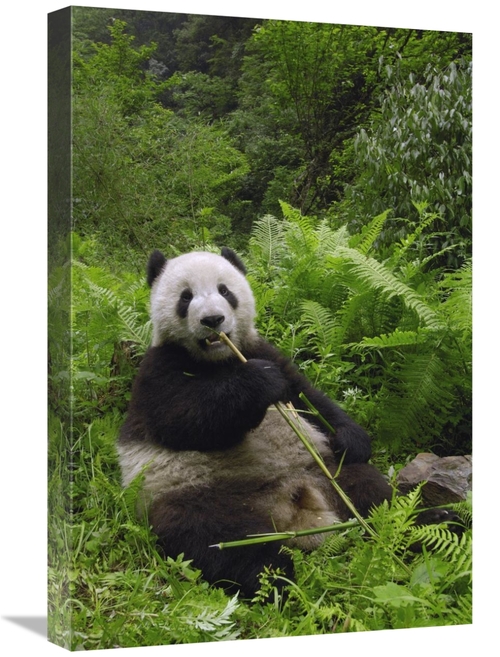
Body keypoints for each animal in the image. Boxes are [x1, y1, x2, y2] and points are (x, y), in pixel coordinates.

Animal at [118, 246, 394, 596]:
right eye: (185, 297)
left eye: (225, 291)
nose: (213, 320)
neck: (219, 359)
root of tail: (294, 507)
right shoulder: (157, 372)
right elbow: (184, 420)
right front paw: (259, 382)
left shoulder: (261, 349)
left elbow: (309, 399)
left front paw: (351, 439)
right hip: (194, 496)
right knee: (218, 538)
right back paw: (278, 578)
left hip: (325, 472)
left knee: (370, 490)